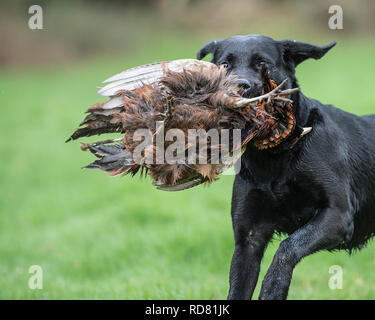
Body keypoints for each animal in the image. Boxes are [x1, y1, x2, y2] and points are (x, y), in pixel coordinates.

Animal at [197, 35, 375, 300]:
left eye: (262, 63)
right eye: (225, 64)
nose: (240, 87)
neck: (276, 155)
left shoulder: (338, 215)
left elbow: (287, 247)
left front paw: (273, 287)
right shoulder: (248, 239)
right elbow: (237, 287)